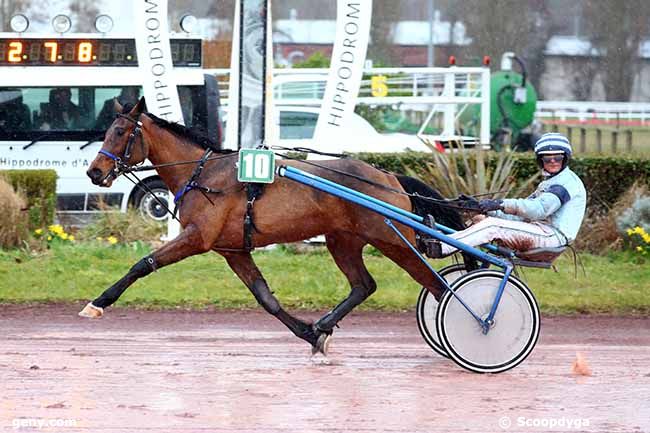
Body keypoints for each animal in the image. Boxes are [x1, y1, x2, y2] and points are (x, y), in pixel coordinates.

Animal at [81, 98, 470, 354]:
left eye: (120, 132)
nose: (94, 172)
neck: (205, 175)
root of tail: (388, 177)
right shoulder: (232, 249)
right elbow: (265, 297)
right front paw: (311, 334)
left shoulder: (198, 237)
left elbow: (142, 264)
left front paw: (98, 302)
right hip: (343, 240)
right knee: (364, 285)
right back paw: (324, 323)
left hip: (392, 240)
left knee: (437, 286)